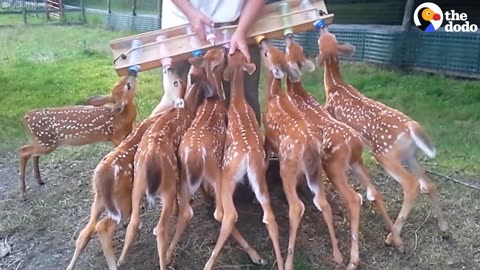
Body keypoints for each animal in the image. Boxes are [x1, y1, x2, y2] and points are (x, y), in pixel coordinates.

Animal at [66, 67, 187, 270]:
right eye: (128, 86)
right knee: (103, 227)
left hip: (99, 199)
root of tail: (103, 175)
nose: (132, 69)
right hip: (122, 201)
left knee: (85, 232)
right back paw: (116, 262)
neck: (160, 112)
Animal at [203, 50, 284, 270]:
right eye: (236, 56)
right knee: (270, 218)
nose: (231, 50)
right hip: (260, 179)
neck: (238, 103)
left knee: (228, 215)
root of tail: (249, 156)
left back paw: (209, 263)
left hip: (228, 174)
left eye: (230, 57)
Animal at [260, 39, 362, 270]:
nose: (263, 41)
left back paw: (290, 262)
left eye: (268, 53)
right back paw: (338, 255)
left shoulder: (268, 137)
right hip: (318, 169)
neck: (274, 95)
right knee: (324, 202)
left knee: (298, 207)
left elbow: (266, 153)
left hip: (293, 167)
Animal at [284, 35, 404, 251]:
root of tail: (355, 143)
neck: (296, 92)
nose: (288, 36)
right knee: (374, 192)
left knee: (355, 198)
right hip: (357, 162)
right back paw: (397, 241)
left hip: (334, 166)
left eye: (292, 48)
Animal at [316, 27, 448, 245]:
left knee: (412, 184)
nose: (321, 27)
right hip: (410, 155)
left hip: (386, 153)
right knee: (428, 183)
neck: (333, 86)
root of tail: (412, 126)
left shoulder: (331, 115)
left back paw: (392, 237)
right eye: (331, 36)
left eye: (322, 40)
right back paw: (444, 228)